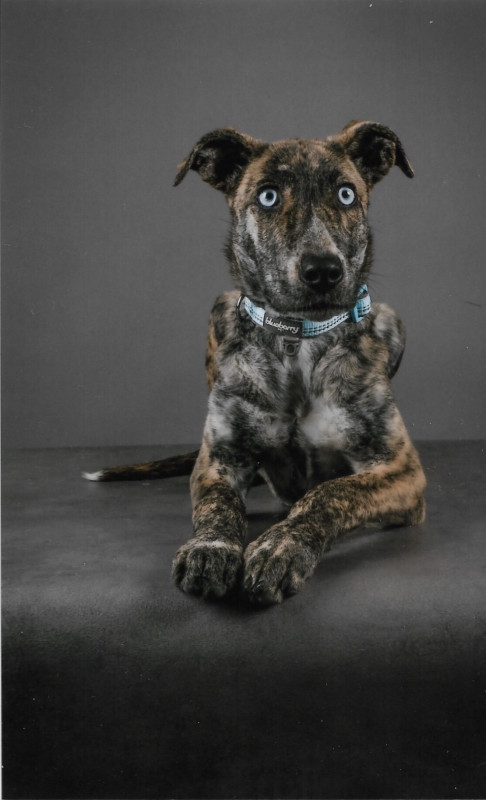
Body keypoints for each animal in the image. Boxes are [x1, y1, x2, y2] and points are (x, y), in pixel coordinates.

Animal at [85, 121, 426, 605]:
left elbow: (329, 493)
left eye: (346, 194)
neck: (299, 341)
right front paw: (211, 548)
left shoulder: (401, 469)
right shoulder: (219, 458)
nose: (323, 271)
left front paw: (280, 546)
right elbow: (219, 506)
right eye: (268, 197)